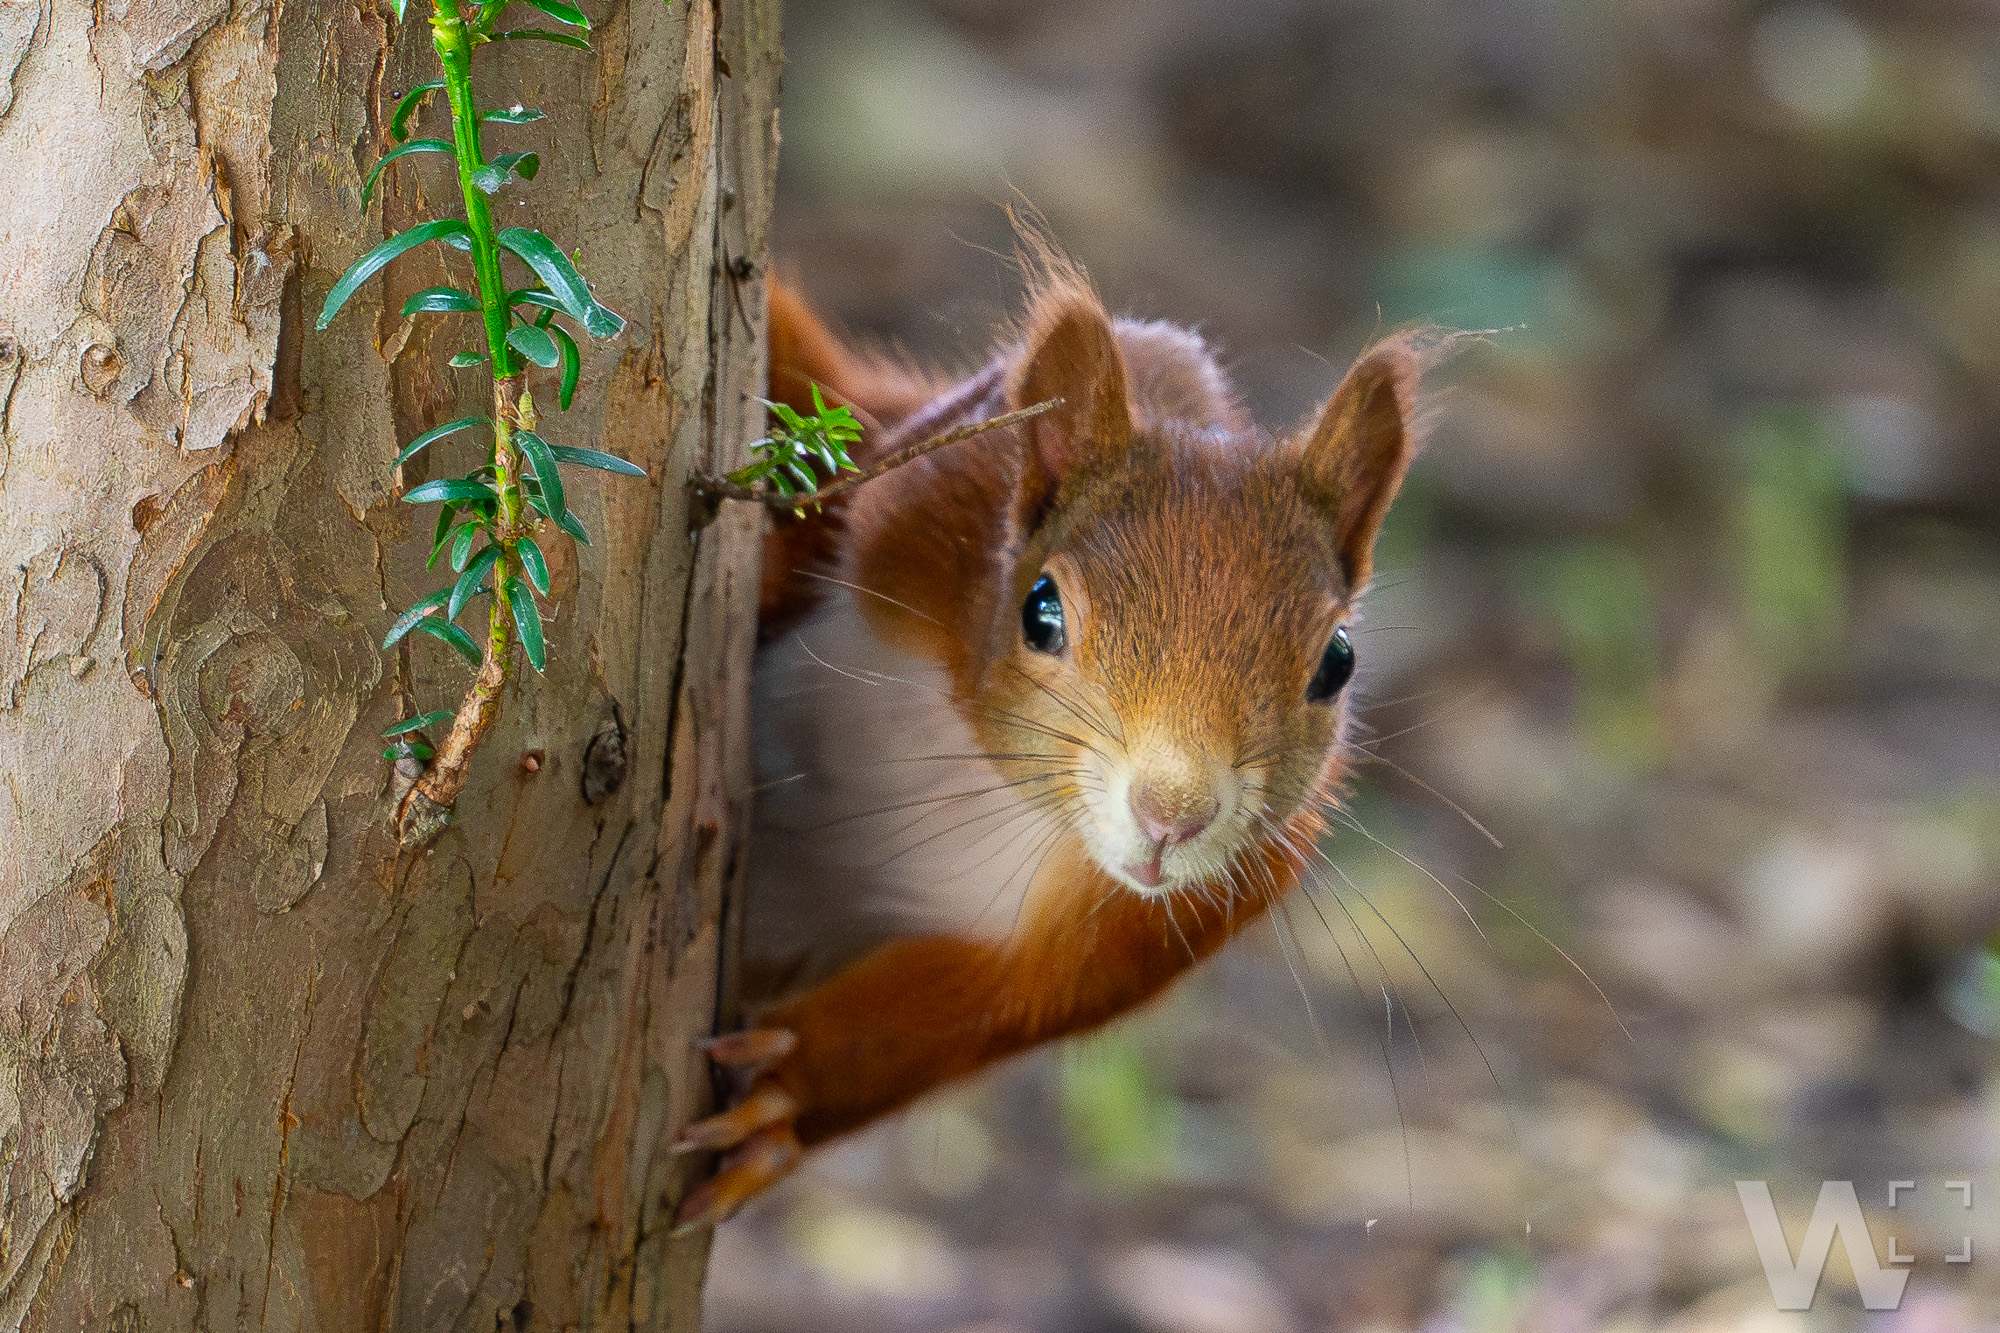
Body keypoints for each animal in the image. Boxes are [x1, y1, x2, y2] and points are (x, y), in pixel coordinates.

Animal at [671, 241, 1431, 1232]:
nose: (1173, 813)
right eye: (1040, 611)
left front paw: (782, 1095)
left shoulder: (1156, 924)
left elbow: (952, 1018)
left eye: (1337, 663)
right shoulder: (913, 504)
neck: (985, 785)